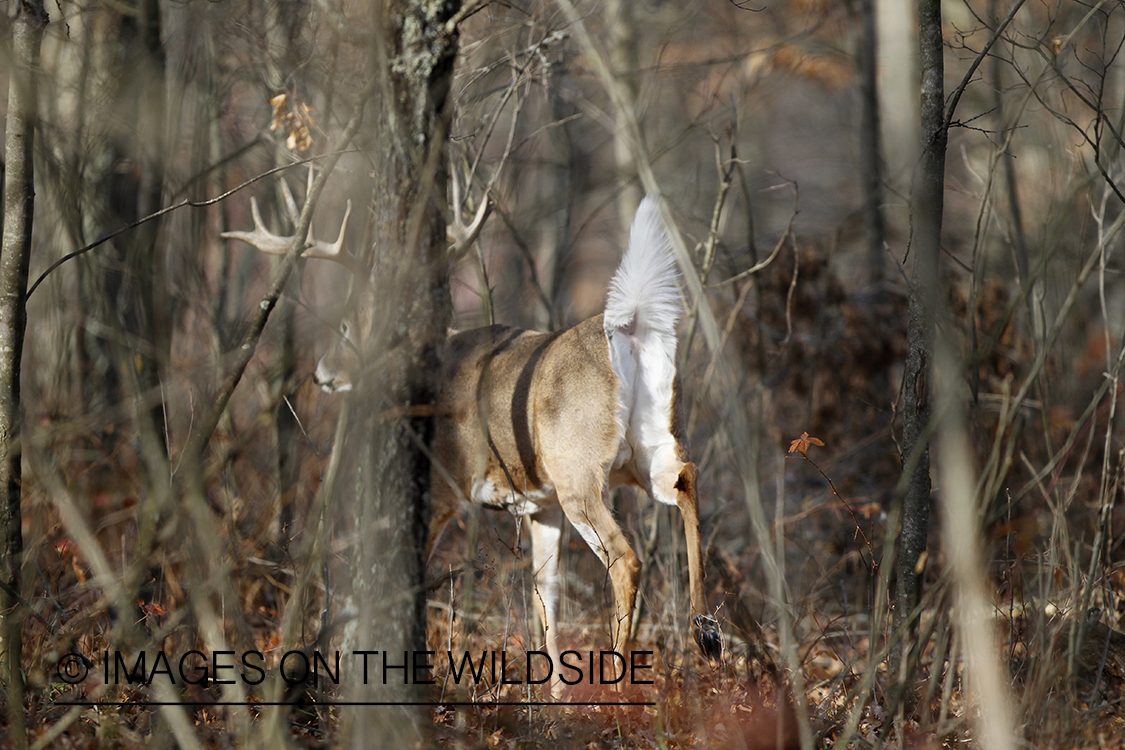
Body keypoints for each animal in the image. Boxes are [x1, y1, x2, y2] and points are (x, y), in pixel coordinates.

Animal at [223, 179, 724, 692]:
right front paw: (555, 692)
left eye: (346, 326)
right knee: (687, 477)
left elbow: (418, 573)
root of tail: (629, 325)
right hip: (650, 446)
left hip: (578, 469)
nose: (321, 374)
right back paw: (705, 632)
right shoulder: (539, 503)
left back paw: (622, 682)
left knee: (626, 559)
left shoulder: (446, 483)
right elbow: (545, 591)